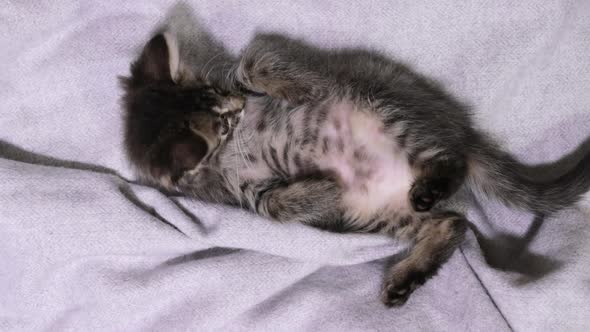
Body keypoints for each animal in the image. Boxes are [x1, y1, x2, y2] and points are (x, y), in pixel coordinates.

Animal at [121, 31, 590, 306]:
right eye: (222, 123)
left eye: (221, 98)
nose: (236, 107)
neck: (228, 151)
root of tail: (457, 129)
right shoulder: (250, 194)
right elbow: (276, 206)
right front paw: (327, 189)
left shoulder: (253, 67)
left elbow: (256, 61)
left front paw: (300, 88)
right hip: (385, 212)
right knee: (452, 224)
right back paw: (406, 276)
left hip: (388, 110)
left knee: (453, 162)